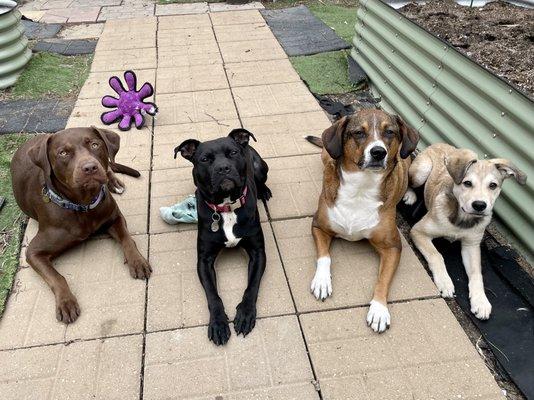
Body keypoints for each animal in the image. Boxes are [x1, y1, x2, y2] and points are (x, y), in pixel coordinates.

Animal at [177, 130, 272, 346]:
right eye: (205, 159)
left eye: (233, 153)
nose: (223, 168)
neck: (227, 208)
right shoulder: (204, 260)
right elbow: (213, 295)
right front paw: (219, 323)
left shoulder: (258, 252)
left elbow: (252, 286)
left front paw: (245, 313)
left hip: (260, 167)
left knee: (262, 179)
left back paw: (264, 190)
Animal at [308, 108, 420, 332]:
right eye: (359, 133)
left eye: (390, 132)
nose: (378, 152)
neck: (360, 188)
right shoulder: (319, 226)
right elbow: (324, 256)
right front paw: (322, 280)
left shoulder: (393, 247)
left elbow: (383, 279)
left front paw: (379, 309)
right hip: (326, 153)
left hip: (414, 167)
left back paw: (410, 194)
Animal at [406, 143, 528, 318]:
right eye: (467, 183)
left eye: (493, 185)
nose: (480, 205)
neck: (462, 220)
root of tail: (440, 143)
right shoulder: (418, 231)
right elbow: (437, 255)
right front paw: (445, 282)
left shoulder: (472, 246)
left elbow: (477, 273)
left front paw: (480, 301)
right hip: (421, 171)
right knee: (409, 182)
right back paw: (409, 195)